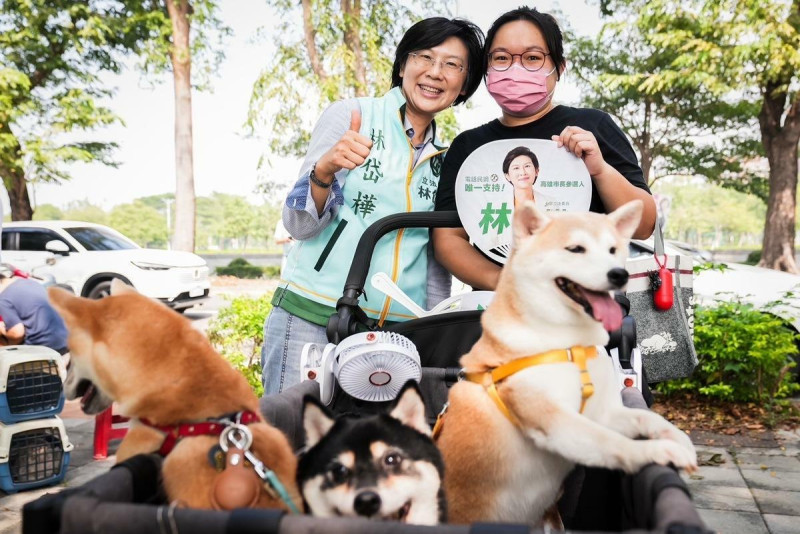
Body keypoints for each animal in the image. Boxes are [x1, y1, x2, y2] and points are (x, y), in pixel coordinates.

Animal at [434, 202, 696, 528]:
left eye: (613, 249)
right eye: (575, 249)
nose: (620, 274)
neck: (570, 345)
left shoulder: (602, 413)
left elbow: (647, 418)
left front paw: (679, 440)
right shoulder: (557, 422)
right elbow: (612, 443)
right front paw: (656, 450)